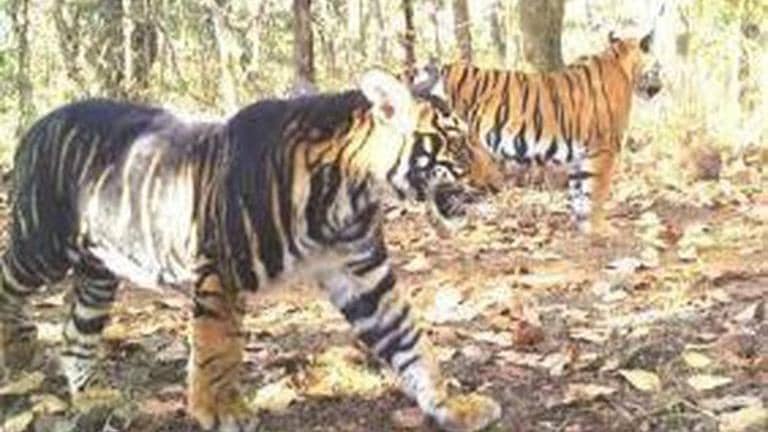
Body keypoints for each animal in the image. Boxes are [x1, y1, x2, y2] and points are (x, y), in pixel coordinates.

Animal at [0, 70, 503, 432]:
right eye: (459, 144)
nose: (499, 184)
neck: (351, 195)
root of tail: (37, 123)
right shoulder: (220, 267)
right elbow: (219, 348)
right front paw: (219, 410)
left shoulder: (361, 271)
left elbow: (410, 339)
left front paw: (454, 405)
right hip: (41, 245)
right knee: (10, 279)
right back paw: (16, 348)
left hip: (98, 270)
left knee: (76, 335)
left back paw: (91, 398)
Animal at [413, 30, 663, 235]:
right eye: (658, 67)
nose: (661, 87)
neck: (623, 66)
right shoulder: (604, 150)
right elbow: (596, 192)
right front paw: (600, 228)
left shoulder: (581, 155)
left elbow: (580, 191)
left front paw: (583, 225)